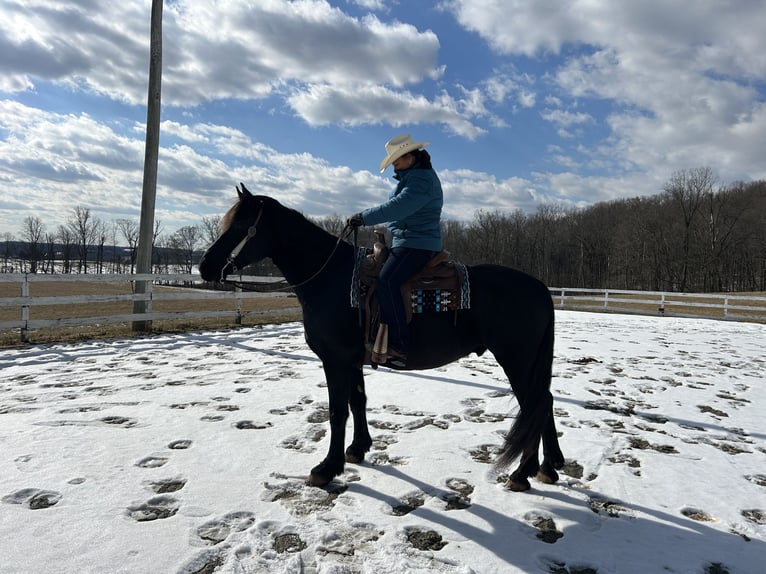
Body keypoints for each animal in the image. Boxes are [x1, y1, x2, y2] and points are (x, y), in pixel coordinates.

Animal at [201, 187, 568, 492]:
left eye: (240, 226)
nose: (205, 267)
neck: (331, 278)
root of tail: (538, 287)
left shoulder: (335, 359)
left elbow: (337, 411)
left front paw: (326, 468)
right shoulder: (352, 360)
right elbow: (357, 401)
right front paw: (357, 449)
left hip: (516, 360)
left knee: (534, 405)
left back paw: (521, 474)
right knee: (543, 402)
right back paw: (547, 468)